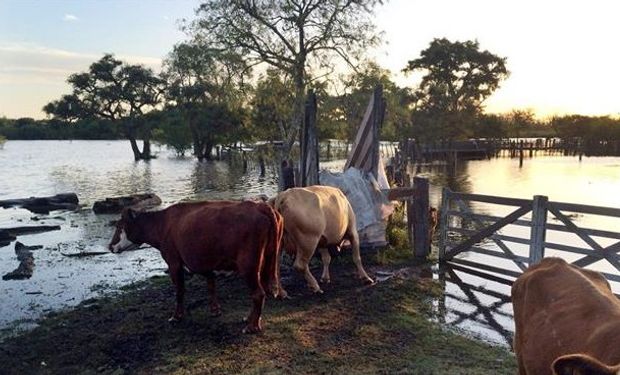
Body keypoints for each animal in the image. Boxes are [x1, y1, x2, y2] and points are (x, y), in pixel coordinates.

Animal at [109, 201, 286, 334]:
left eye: (119, 226)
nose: (110, 246)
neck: (162, 224)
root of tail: (259, 206)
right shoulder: (206, 261)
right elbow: (211, 285)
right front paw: (215, 310)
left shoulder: (174, 263)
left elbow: (180, 291)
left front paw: (177, 316)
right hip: (267, 260)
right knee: (263, 290)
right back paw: (251, 319)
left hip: (248, 266)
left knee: (258, 293)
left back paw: (251, 326)